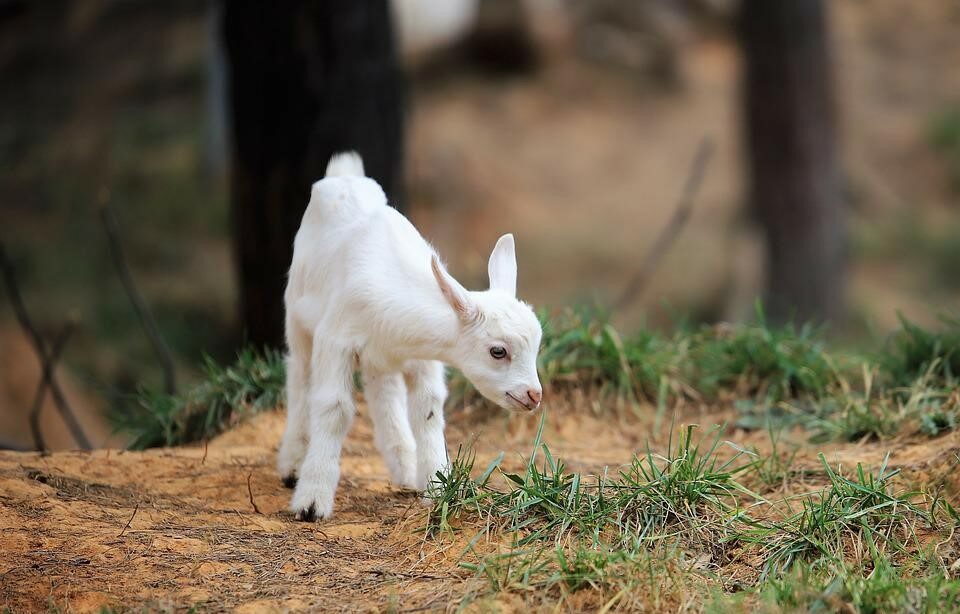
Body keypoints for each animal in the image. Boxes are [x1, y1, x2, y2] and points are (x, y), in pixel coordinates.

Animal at [279, 152, 543, 521]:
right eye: (498, 351)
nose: (534, 395)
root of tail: (343, 174)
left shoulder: (422, 356)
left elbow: (427, 408)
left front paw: (437, 487)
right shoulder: (335, 340)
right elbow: (334, 408)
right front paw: (312, 501)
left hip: (379, 359)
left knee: (385, 393)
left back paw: (404, 468)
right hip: (297, 316)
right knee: (300, 377)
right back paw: (292, 464)